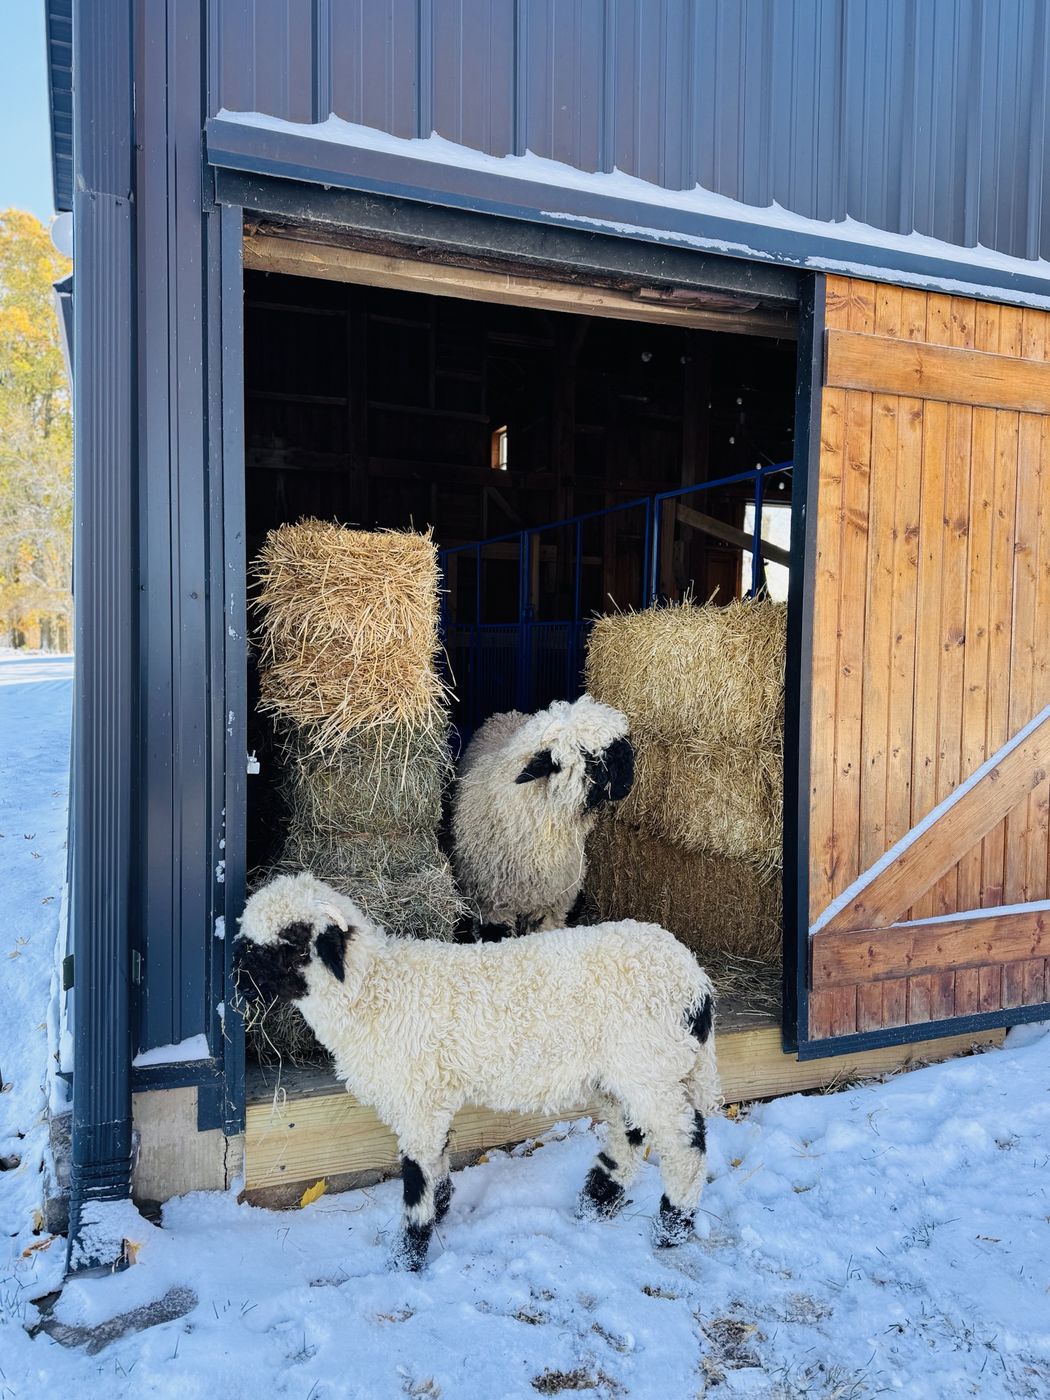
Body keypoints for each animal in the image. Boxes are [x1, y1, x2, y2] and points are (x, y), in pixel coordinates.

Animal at [235, 870, 720, 1271]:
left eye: (289, 943)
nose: (237, 979)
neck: (375, 993)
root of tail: (697, 984)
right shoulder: (430, 1096)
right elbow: (438, 1159)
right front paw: (441, 1209)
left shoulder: (417, 1099)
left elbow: (417, 1175)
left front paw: (408, 1255)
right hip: (629, 1070)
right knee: (630, 1132)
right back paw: (596, 1202)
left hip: (650, 1064)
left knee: (685, 1144)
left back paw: (672, 1226)